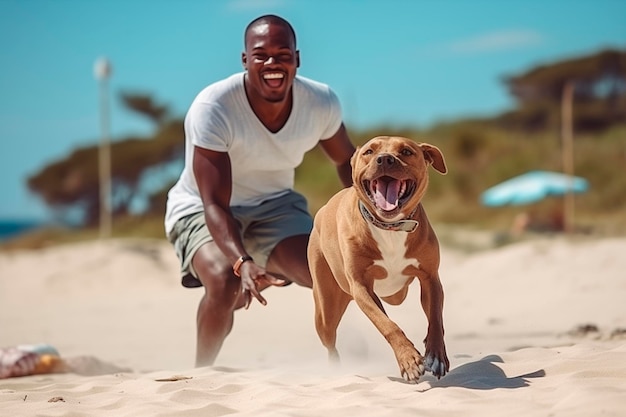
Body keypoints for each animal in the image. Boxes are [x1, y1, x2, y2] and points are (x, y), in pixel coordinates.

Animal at [304, 136, 446, 380]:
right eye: (369, 151)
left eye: (406, 151)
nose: (385, 159)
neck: (390, 227)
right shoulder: (361, 288)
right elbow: (388, 325)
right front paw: (408, 359)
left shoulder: (430, 278)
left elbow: (435, 318)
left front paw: (436, 354)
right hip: (326, 309)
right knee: (330, 341)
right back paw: (336, 369)